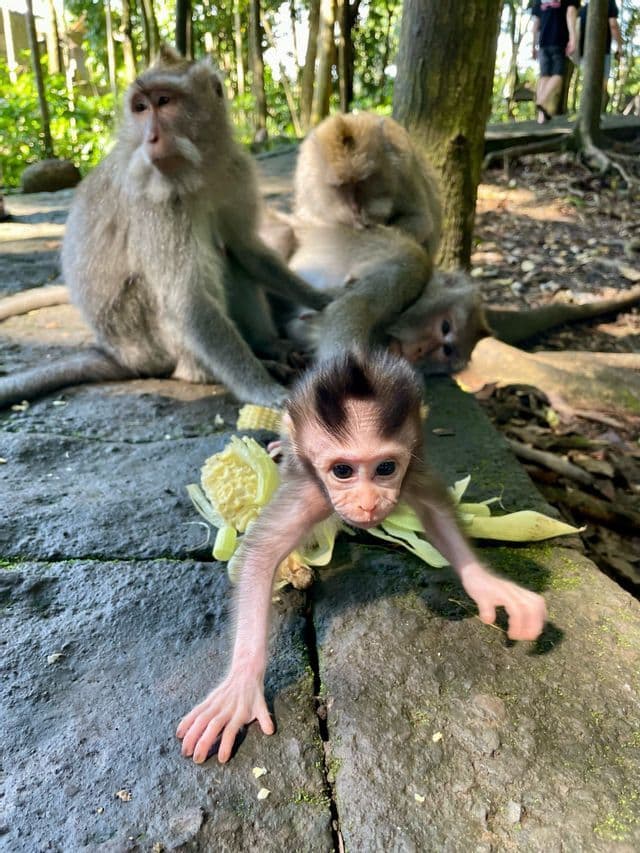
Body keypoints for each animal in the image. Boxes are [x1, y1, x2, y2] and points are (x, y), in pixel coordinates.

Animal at [0, 46, 330, 409]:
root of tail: (117, 354)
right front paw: (263, 390)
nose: (151, 137)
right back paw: (206, 371)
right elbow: (186, 299)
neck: (200, 167)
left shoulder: (235, 171)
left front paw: (324, 298)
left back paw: (269, 345)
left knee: (228, 254)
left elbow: (246, 249)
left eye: (164, 101)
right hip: (146, 339)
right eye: (141, 108)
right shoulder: (157, 202)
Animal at [176, 350, 547, 764]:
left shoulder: (413, 473)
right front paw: (241, 683)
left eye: (385, 468)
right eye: (342, 471)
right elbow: (260, 556)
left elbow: (437, 513)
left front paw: (486, 583)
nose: (368, 503)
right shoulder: (310, 495)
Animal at [294, 112, 442, 258]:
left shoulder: (404, 171)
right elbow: (307, 220)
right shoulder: (307, 181)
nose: (355, 207)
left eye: (362, 181)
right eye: (343, 185)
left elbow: (421, 220)